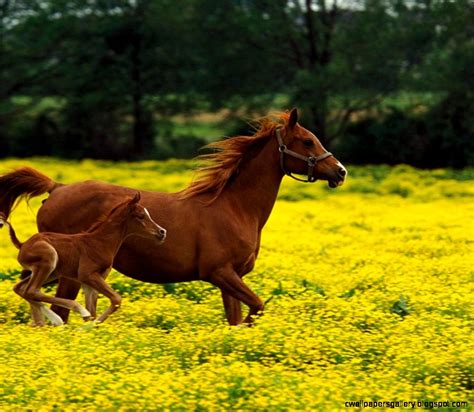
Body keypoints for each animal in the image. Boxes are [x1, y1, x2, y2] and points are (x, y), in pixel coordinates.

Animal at [0, 193, 167, 326]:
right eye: (141, 216)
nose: (162, 232)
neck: (100, 242)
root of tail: (22, 244)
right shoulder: (87, 275)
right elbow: (116, 299)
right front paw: (87, 326)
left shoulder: (91, 281)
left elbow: (94, 309)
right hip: (49, 259)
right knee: (32, 290)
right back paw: (66, 316)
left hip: (51, 272)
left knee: (21, 289)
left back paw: (42, 323)